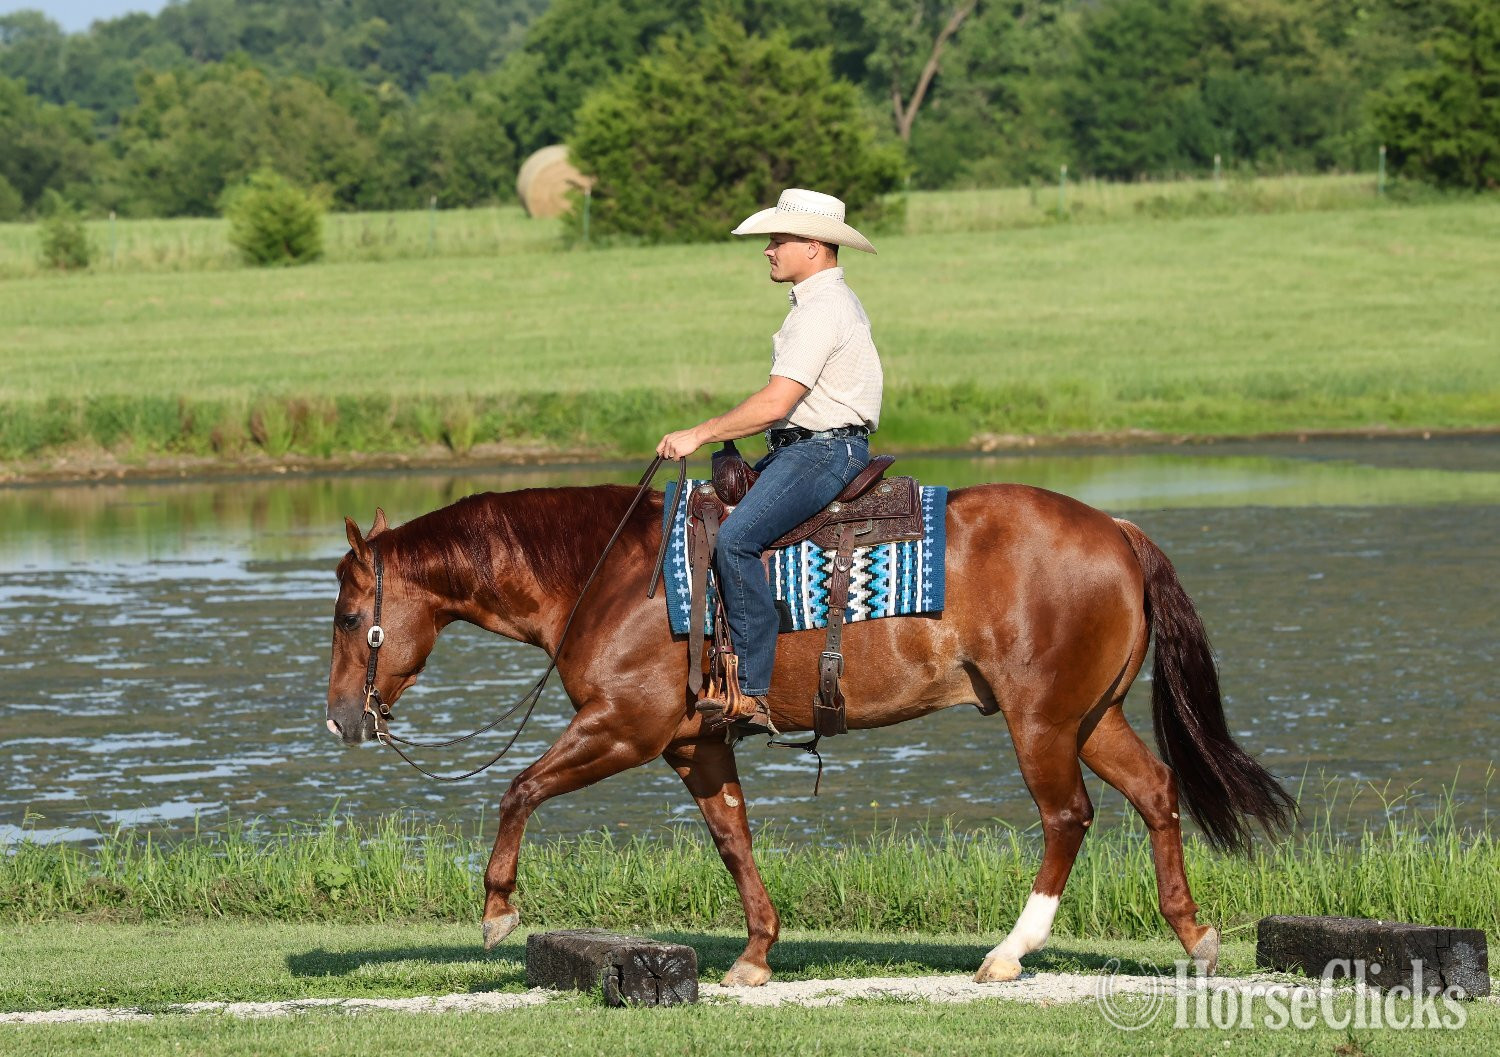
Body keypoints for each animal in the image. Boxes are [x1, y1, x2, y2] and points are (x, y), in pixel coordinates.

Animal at [324, 480, 1295, 986]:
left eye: (343, 616)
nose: (339, 715)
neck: (611, 575)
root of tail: (1117, 530)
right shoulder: (695, 744)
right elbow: (734, 837)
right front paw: (756, 953)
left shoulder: (624, 727)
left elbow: (519, 786)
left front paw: (497, 910)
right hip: (1092, 717)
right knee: (1156, 792)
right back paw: (1195, 935)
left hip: (1043, 720)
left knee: (1068, 817)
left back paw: (1008, 953)